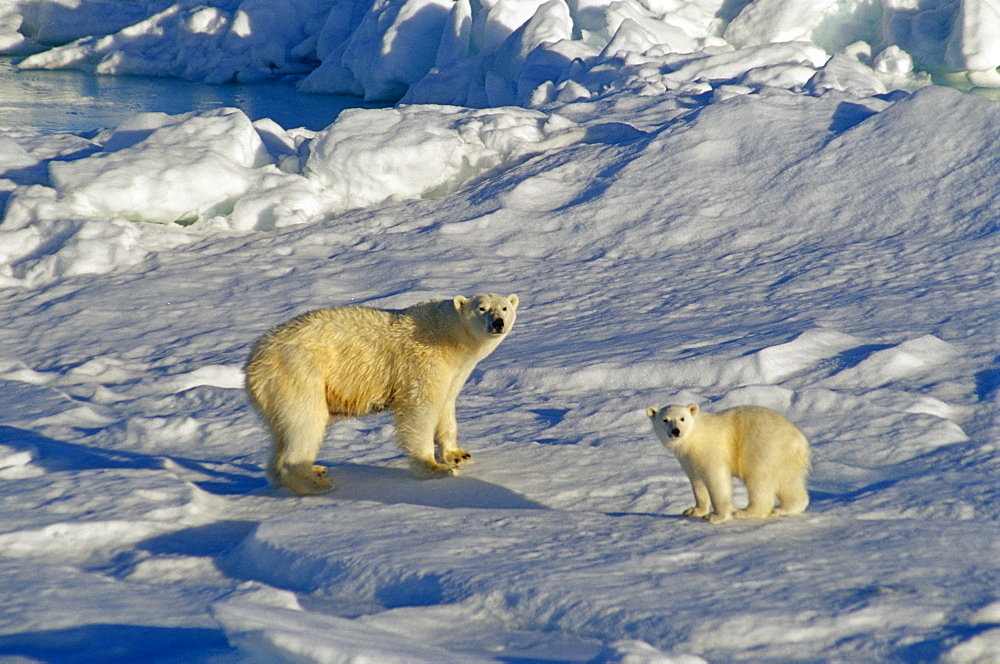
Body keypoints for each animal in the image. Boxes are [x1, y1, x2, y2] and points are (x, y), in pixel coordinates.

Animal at [246, 294, 520, 496]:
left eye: (504, 307)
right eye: (482, 308)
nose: (498, 322)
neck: (448, 334)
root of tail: (255, 359)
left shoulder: (456, 371)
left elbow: (446, 405)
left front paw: (458, 454)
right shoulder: (423, 362)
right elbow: (420, 409)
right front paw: (435, 468)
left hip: (276, 391)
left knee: (282, 432)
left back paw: (305, 471)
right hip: (299, 372)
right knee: (305, 422)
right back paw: (315, 482)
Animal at [644, 404, 808, 524]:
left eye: (682, 418)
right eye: (665, 419)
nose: (675, 431)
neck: (694, 437)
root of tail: (800, 440)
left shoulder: (710, 450)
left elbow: (717, 480)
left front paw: (716, 517)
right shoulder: (688, 459)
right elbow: (697, 482)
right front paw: (694, 511)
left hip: (763, 447)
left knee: (759, 479)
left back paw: (744, 512)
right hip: (786, 459)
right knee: (789, 483)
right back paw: (781, 509)